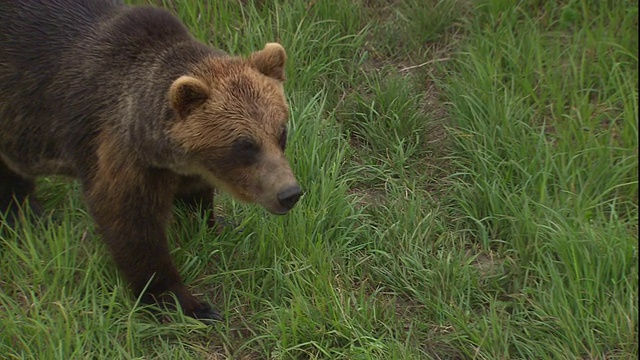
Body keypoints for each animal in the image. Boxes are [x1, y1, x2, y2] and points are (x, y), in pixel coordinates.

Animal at [0, 0, 302, 320]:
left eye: (281, 133)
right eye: (245, 145)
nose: (288, 193)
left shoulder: (182, 166)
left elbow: (195, 197)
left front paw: (218, 224)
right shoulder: (119, 149)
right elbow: (131, 224)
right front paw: (185, 302)